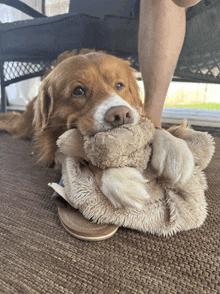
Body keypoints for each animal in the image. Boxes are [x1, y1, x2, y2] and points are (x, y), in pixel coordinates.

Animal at [0, 48, 193, 209]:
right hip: (23, 125)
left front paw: (174, 149)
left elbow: (153, 126)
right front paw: (119, 178)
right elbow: (87, 154)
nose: (121, 114)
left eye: (119, 85)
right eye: (78, 91)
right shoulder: (55, 147)